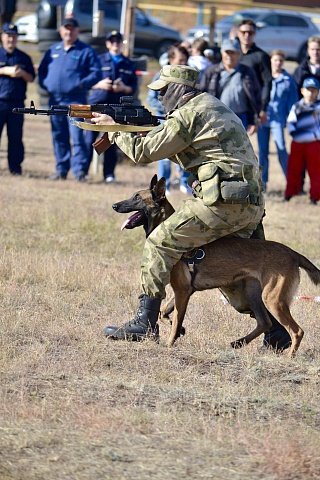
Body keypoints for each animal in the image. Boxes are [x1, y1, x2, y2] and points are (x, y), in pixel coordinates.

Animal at [113, 176, 320, 356]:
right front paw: (180, 330)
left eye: (137, 197)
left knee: (296, 331)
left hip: (273, 299)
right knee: (265, 322)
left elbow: (174, 319)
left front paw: (170, 342)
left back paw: (289, 356)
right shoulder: (183, 291)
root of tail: (292, 253)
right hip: (251, 294)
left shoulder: (182, 292)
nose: (115, 205)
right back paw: (240, 342)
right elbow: (164, 313)